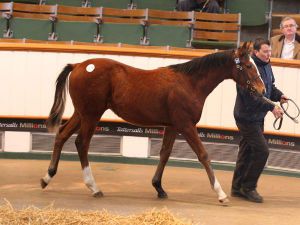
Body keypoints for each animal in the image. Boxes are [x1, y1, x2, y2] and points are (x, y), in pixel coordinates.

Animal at [40, 42, 264, 204]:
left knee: (62, 135)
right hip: (91, 115)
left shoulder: (172, 126)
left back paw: (47, 177)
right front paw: (220, 193)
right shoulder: (186, 125)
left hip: (81, 114)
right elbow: (203, 155)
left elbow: (164, 154)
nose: (262, 90)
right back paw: (93, 187)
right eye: (248, 66)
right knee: (82, 143)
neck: (189, 83)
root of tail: (79, 65)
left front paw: (159, 187)